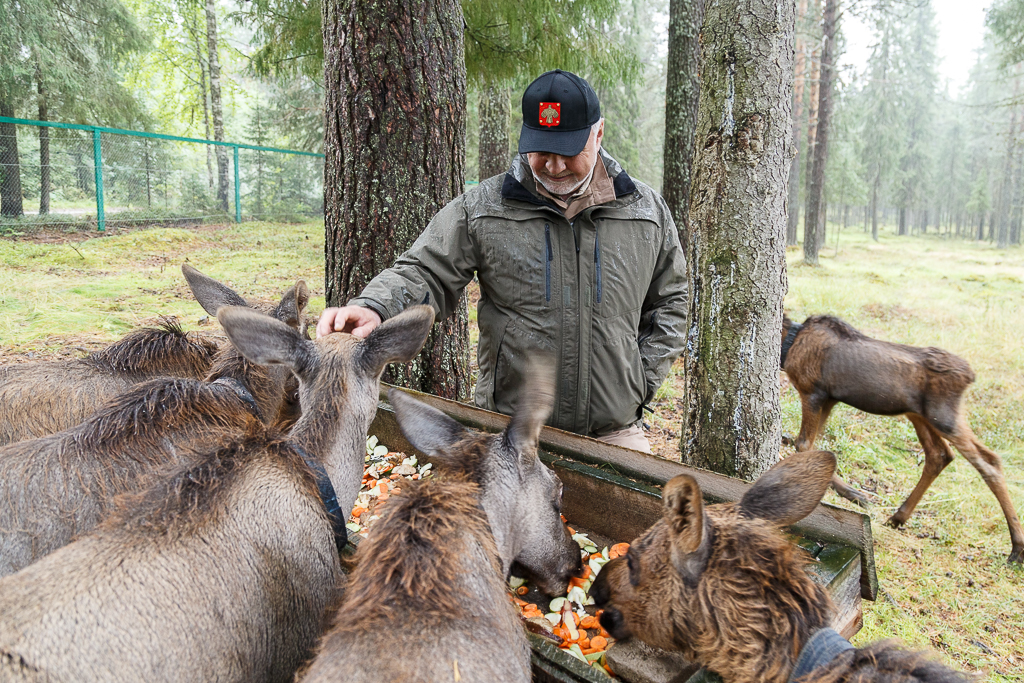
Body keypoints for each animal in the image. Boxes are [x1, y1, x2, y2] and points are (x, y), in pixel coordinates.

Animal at [778, 317, 1019, 565]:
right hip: (921, 416)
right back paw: (898, 516)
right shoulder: (829, 399)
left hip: (944, 418)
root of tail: (971, 376)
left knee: (987, 461)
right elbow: (817, 448)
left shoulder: (813, 392)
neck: (787, 345)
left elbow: (803, 444)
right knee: (942, 455)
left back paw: (1017, 547)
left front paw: (853, 494)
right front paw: (853, 494)